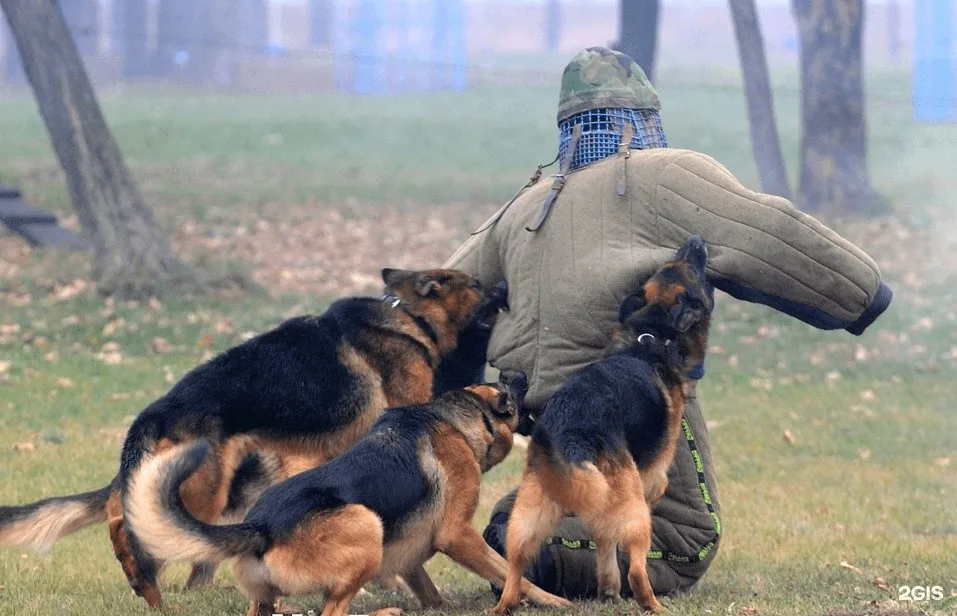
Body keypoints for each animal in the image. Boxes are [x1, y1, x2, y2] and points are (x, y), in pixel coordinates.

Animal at [0, 268, 504, 608]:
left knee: (131, 515)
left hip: (227, 485)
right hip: (205, 489)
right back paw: (148, 583)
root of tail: (152, 415)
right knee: (133, 522)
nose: (504, 288)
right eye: (477, 286)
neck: (410, 316)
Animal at [119, 370, 568, 616]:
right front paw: (550, 600)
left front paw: (438, 607)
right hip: (365, 522)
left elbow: (423, 581)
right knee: (332, 612)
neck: (455, 418)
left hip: (267, 597)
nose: (521, 372)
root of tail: (261, 525)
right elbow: (508, 571)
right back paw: (384, 612)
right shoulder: (457, 535)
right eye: (508, 391)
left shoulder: (408, 546)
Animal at [492, 235, 708, 612]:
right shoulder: (652, 473)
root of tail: (570, 435)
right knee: (637, 570)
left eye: (669, 267)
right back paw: (655, 606)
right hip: (634, 512)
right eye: (693, 270)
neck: (651, 334)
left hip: (526, 516)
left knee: (513, 567)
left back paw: (507, 603)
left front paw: (608, 587)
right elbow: (659, 485)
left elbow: (605, 545)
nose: (695, 240)